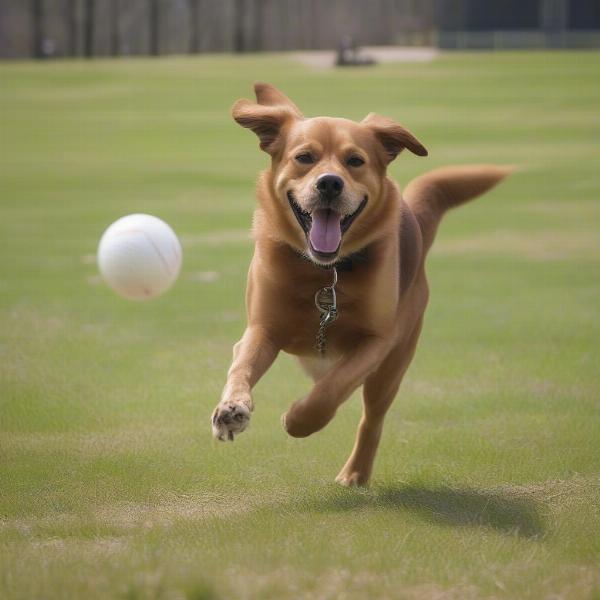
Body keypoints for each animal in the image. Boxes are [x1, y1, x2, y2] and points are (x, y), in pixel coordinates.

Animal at [211, 83, 510, 488]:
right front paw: (232, 408)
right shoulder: (261, 330)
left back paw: (355, 472)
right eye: (304, 157)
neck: (325, 273)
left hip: (394, 365)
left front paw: (298, 419)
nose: (329, 182)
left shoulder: (376, 343)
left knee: (372, 419)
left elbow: (331, 390)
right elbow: (241, 368)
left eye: (355, 161)